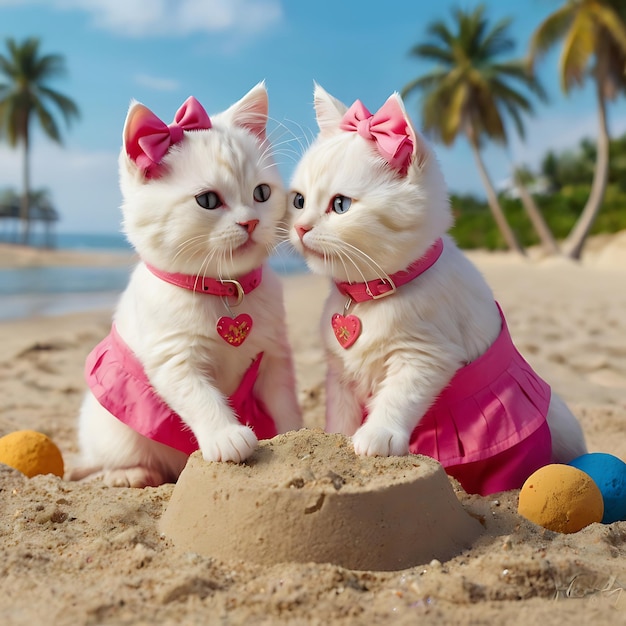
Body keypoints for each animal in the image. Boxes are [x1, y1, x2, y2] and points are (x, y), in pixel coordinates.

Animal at [70, 83, 300, 486]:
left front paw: (296, 433)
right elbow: (199, 395)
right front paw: (226, 436)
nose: (251, 222)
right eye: (207, 200)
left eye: (262, 193)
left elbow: (283, 400)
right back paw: (131, 473)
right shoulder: (173, 355)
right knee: (109, 457)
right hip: (110, 425)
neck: (224, 289)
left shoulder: (274, 354)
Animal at [288, 84, 584, 492]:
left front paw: (377, 434)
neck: (370, 296)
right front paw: (340, 436)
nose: (301, 227)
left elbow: (400, 393)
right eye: (298, 200)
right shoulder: (341, 375)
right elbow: (341, 415)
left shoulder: (427, 353)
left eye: (341, 204)